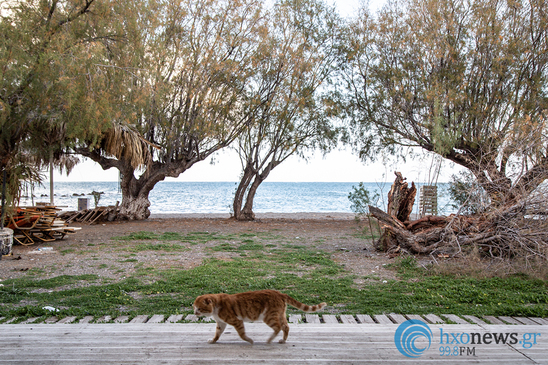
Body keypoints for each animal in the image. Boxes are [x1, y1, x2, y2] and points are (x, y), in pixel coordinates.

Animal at [195, 288, 328, 342]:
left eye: (199, 308)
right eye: (194, 307)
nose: (195, 313)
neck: (216, 307)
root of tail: (280, 293)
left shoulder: (236, 321)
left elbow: (242, 334)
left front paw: (250, 340)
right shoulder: (221, 323)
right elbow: (217, 334)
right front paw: (213, 341)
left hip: (268, 317)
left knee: (278, 328)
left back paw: (269, 340)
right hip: (280, 314)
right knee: (286, 327)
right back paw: (282, 341)